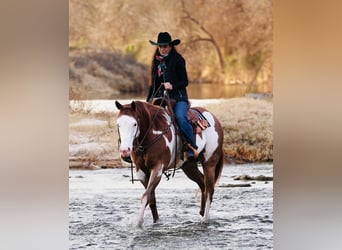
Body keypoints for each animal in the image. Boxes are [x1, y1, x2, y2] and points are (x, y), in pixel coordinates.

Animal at [115, 99, 224, 227]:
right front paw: (156, 222)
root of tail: (214, 118)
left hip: (209, 162)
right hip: (189, 166)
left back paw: (205, 219)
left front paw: (138, 222)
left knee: (210, 189)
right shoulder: (141, 172)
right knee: (203, 184)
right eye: (118, 124)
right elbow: (151, 198)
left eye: (134, 124)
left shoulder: (157, 169)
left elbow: (146, 196)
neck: (152, 135)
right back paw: (201, 214)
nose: (125, 151)